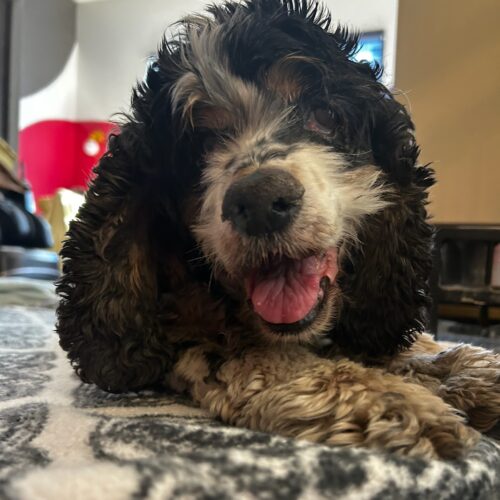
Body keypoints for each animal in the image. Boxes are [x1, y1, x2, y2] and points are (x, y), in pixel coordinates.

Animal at [56, 0, 500, 459]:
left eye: (325, 115)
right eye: (201, 145)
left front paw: (462, 367)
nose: (260, 203)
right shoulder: (193, 333)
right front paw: (393, 400)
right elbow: (271, 360)